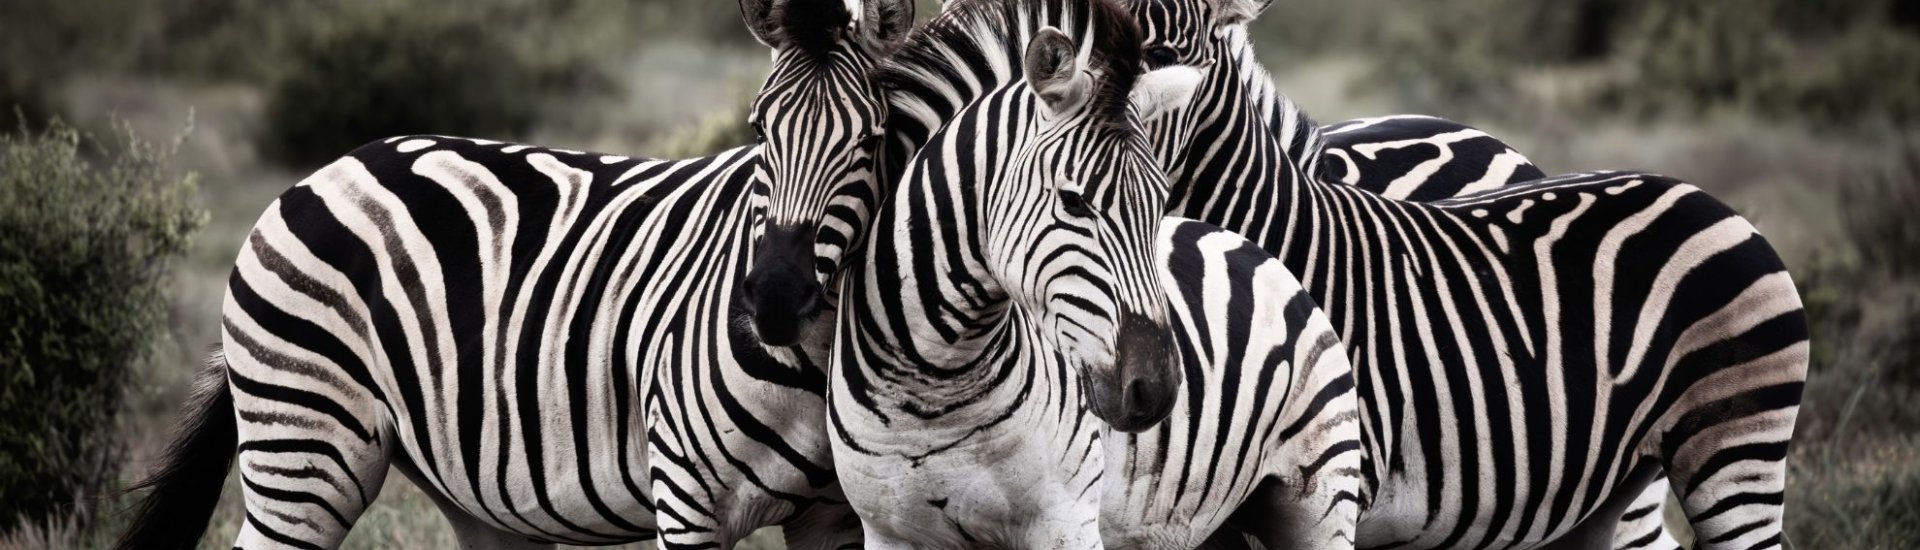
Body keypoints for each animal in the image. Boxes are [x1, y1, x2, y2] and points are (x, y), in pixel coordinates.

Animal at [113, 0, 912, 548]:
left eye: (872, 140)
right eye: (757, 131)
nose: (774, 299)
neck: (808, 367)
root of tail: (331, 167)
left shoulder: (833, 517)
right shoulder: (687, 499)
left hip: (464, 487)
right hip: (304, 445)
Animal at [824, 1, 1364, 548]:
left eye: (1160, 204)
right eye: (1072, 200)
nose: (1156, 389)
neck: (932, 391)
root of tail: (1239, 240)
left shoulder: (1065, 519)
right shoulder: (888, 531)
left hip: (1321, 496)